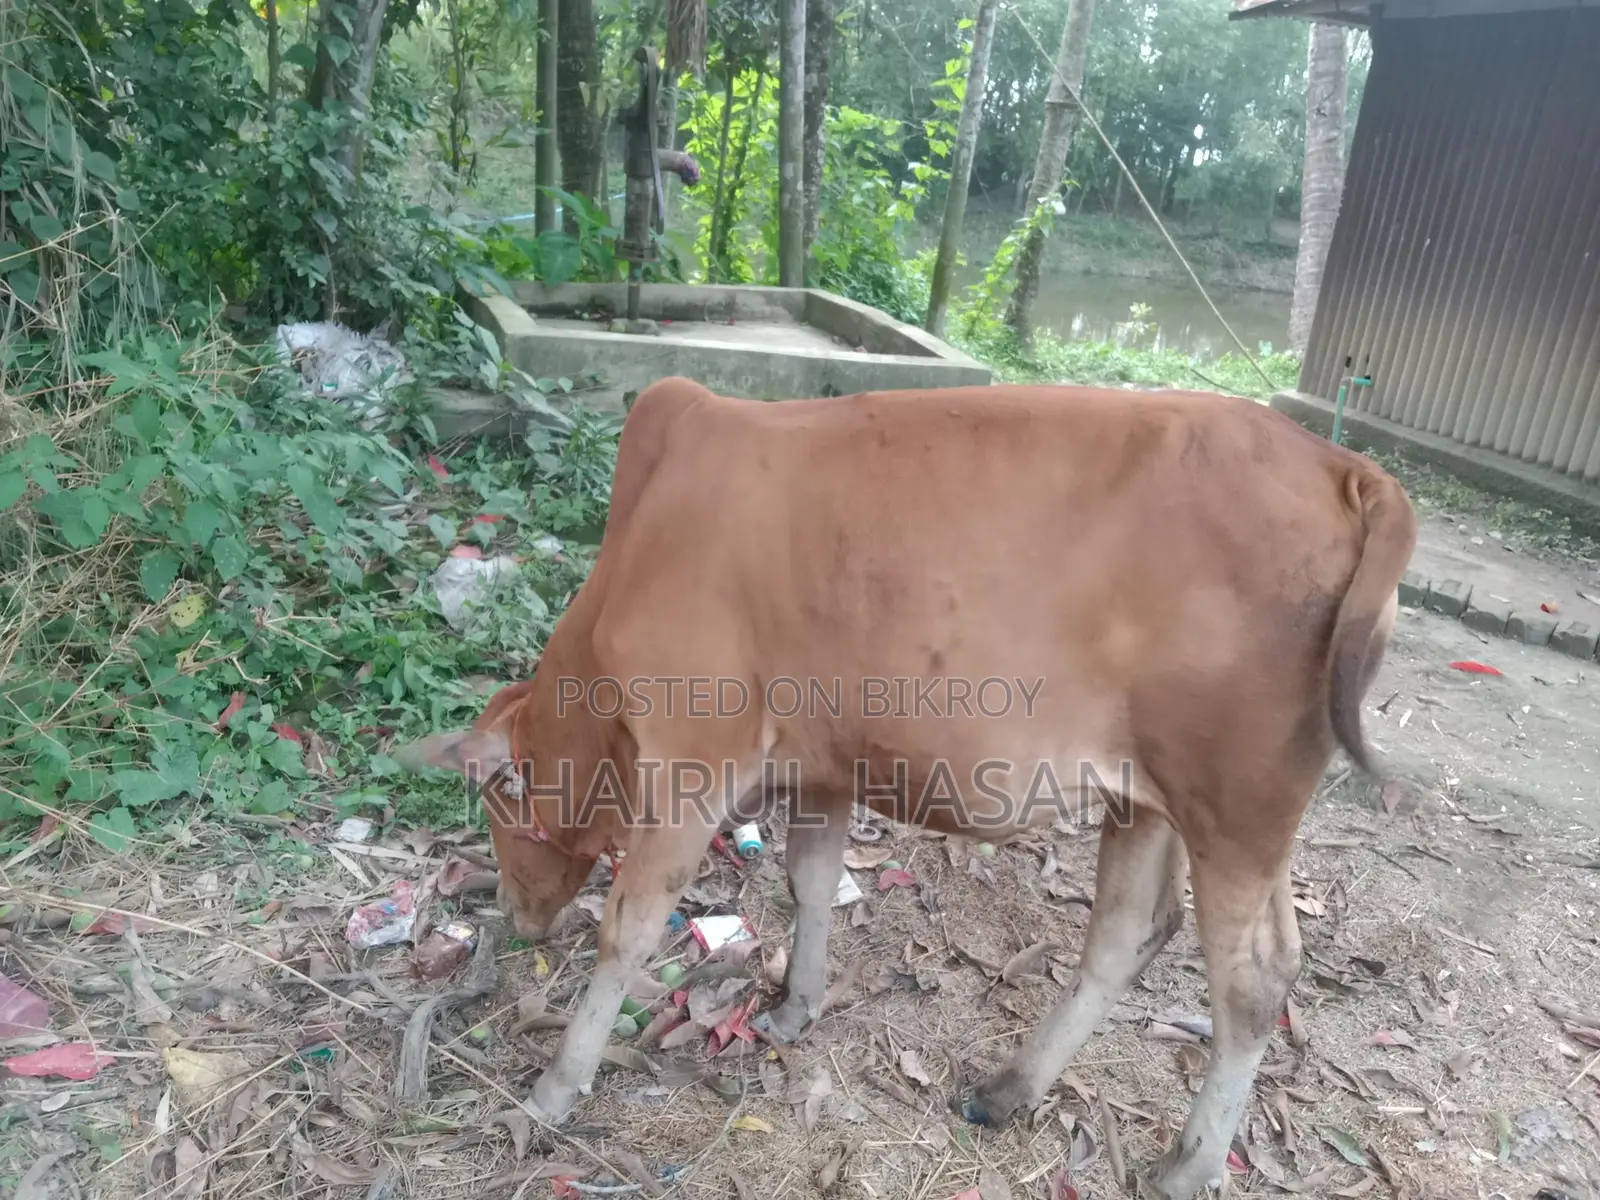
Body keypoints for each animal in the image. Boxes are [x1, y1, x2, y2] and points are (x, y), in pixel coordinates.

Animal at [397, 376, 1417, 1198]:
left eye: (497, 805)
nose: (516, 916)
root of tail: (1345, 467)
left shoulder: (693, 761)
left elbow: (629, 930)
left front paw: (553, 1089)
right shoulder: (820, 759)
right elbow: (812, 882)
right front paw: (795, 1007)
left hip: (1240, 809)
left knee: (1253, 977)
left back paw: (1188, 1163)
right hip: (1157, 797)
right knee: (1131, 929)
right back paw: (1011, 1089)